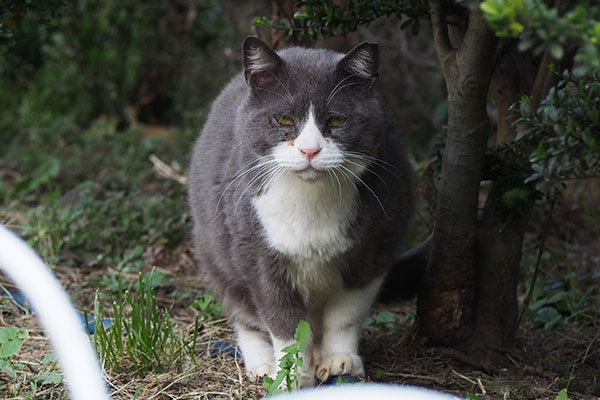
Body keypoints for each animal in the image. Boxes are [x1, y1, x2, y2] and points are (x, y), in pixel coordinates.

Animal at [189, 36, 412, 384]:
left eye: (337, 120)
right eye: (283, 119)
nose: (310, 150)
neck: (310, 201)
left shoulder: (375, 248)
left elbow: (346, 314)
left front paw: (339, 361)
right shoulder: (258, 257)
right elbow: (283, 321)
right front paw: (291, 374)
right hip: (215, 252)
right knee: (242, 312)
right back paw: (261, 363)